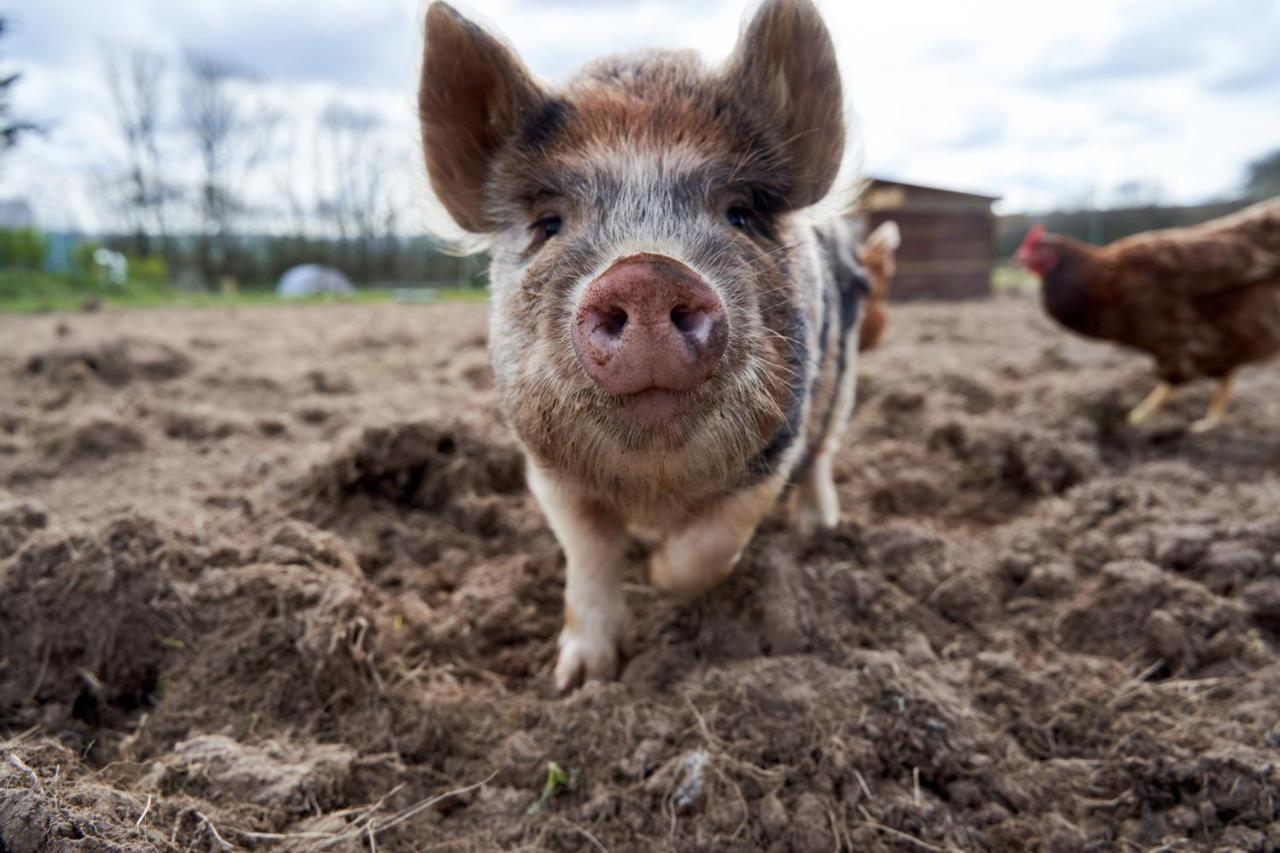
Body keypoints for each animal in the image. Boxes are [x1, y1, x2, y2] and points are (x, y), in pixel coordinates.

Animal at [419, 0, 870, 686]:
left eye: (741, 213)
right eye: (548, 223)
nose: (648, 272)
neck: (653, 486)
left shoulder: (774, 446)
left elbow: (713, 543)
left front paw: (658, 574)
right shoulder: (548, 469)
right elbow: (589, 556)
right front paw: (580, 681)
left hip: (839, 385)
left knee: (823, 456)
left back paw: (818, 532)